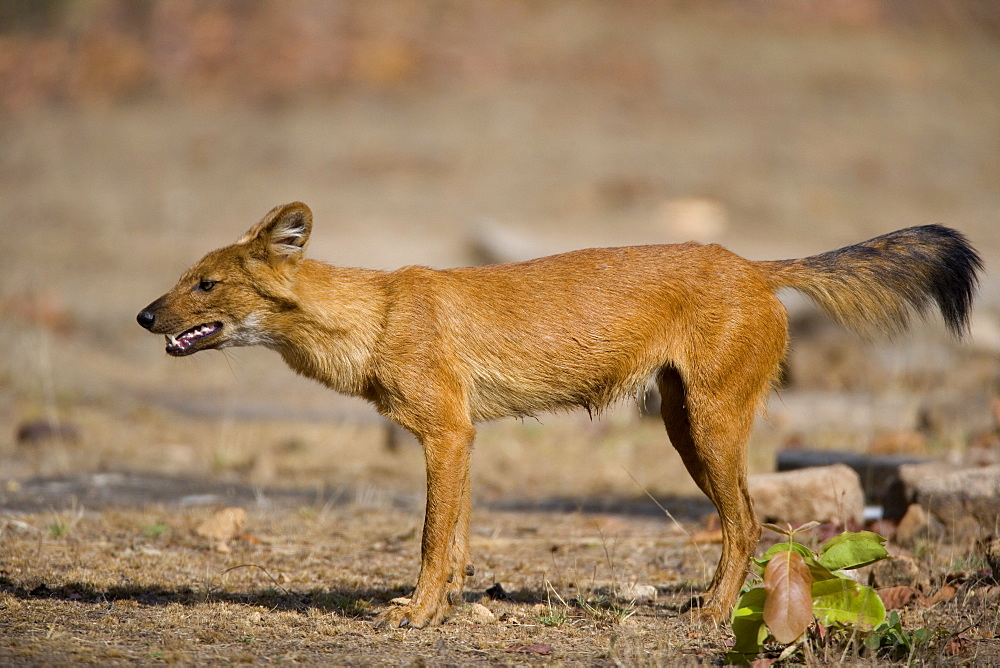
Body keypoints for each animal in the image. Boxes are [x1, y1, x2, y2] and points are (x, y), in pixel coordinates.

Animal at [137, 202, 980, 628]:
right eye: (181, 279)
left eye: (206, 284)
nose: (143, 316)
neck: (371, 318)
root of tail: (752, 264)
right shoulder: (462, 437)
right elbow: (458, 540)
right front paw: (448, 607)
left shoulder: (446, 433)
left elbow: (429, 542)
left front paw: (415, 616)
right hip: (682, 424)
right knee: (744, 523)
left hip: (707, 428)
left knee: (748, 522)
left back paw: (711, 616)